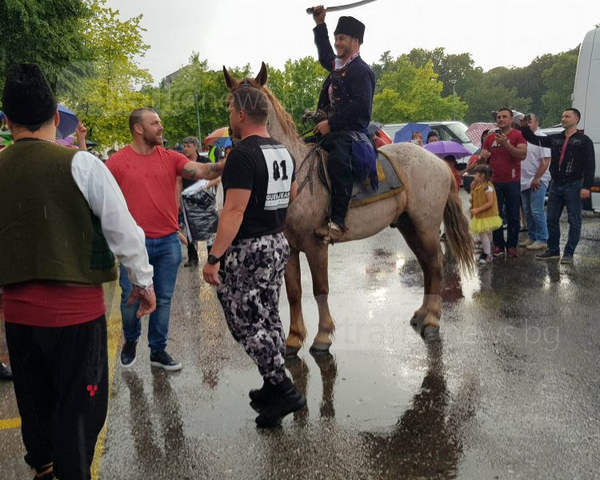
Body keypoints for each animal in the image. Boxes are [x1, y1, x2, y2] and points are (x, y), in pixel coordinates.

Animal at [223, 62, 476, 356]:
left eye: (258, 104)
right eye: (230, 103)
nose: (239, 148)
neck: (295, 175)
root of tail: (438, 162)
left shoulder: (316, 244)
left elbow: (320, 288)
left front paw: (322, 335)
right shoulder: (291, 248)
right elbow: (294, 292)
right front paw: (294, 338)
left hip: (426, 225)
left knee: (435, 266)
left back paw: (433, 320)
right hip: (409, 226)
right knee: (427, 265)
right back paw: (422, 313)